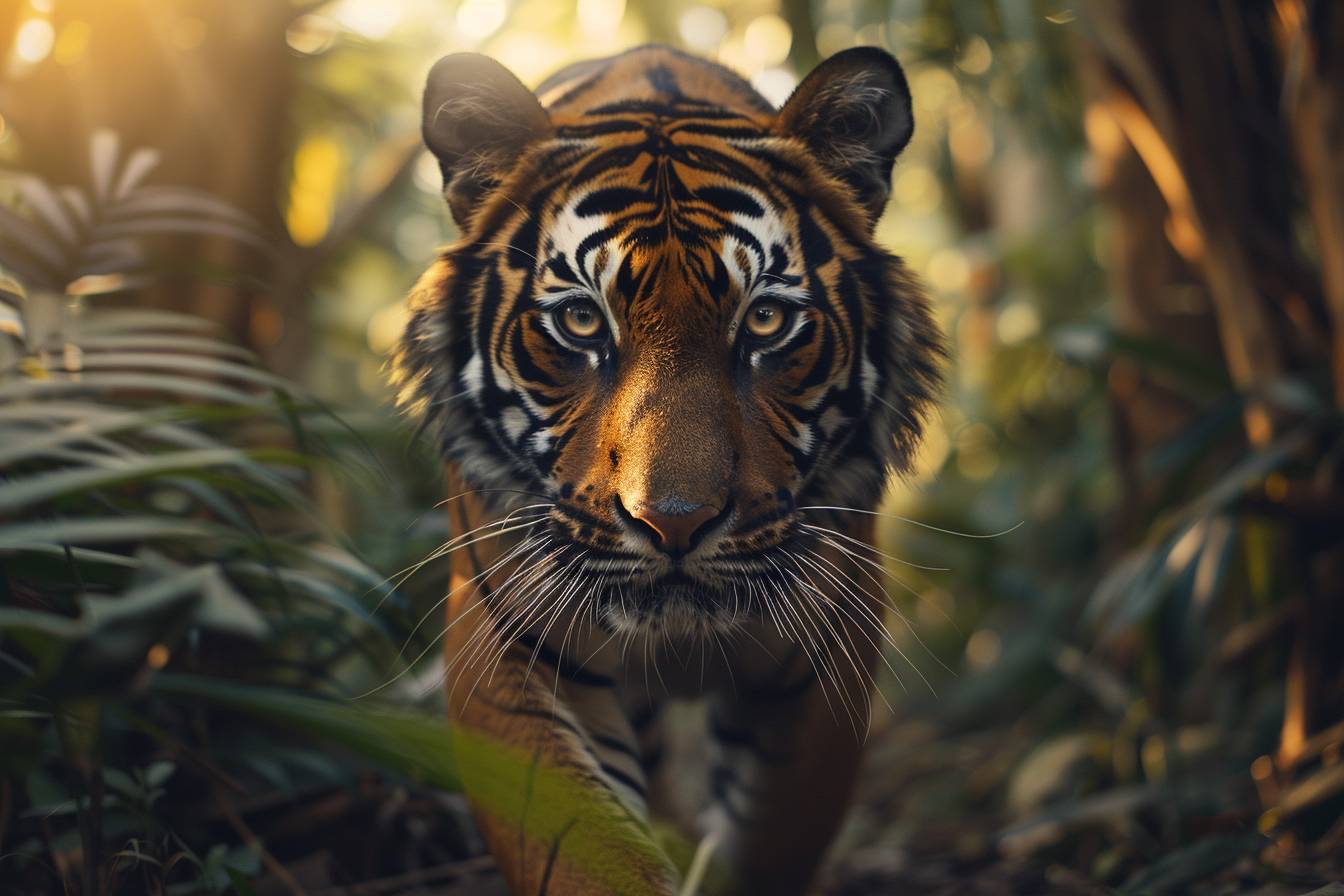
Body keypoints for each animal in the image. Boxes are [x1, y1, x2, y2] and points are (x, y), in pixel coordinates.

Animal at [392, 44, 943, 896]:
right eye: (581, 320)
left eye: (765, 320)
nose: (673, 523)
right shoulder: (508, 651)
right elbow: (590, 856)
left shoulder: (823, 656)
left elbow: (767, 849)